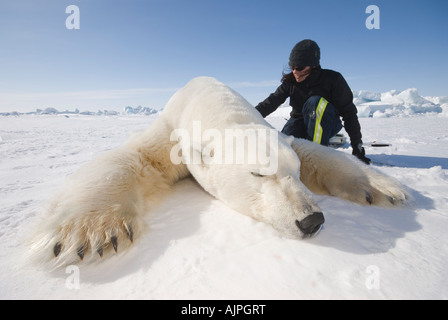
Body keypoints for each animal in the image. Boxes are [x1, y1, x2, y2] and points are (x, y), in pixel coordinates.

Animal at [30, 76, 410, 266]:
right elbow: (135, 158)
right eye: (258, 174)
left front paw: (384, 189)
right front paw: (91, 232)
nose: (311, 220)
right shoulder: (172, 131)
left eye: (296, 174)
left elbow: (308, 149)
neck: (213, 103)